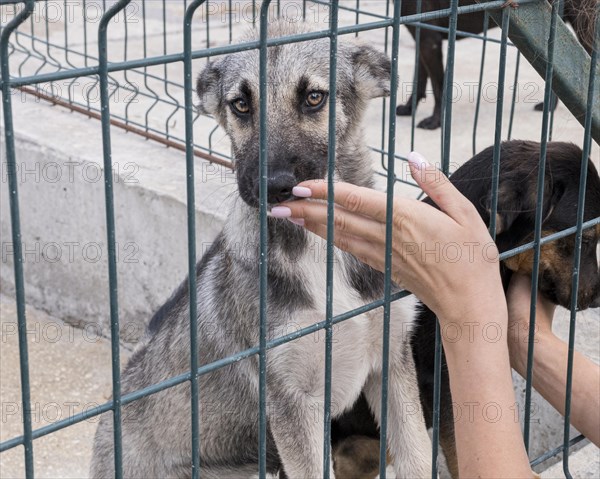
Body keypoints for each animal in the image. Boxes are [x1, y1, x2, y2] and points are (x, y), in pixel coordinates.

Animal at [89, 21, 432, 479]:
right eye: (240, 105)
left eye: (313, 97)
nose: (273, 187)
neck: (320, 247)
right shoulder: (292, 400)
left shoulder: (390, 362)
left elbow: (418, 454)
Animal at [396, 0, 596, 129]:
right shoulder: (422, 38)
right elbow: (419, 79)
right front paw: (409, 108)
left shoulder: (430, 41)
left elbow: (438, 86)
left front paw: (435, 121)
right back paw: (549, 107)